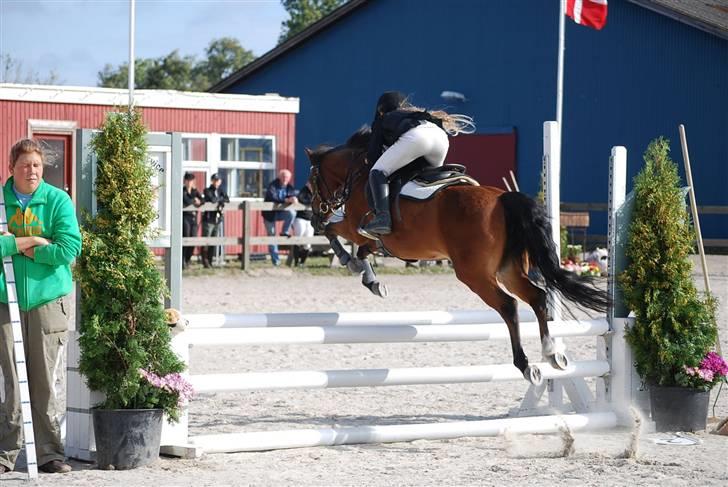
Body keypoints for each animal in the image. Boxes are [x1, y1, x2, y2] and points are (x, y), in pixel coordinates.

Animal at [304, 127, 612, 386]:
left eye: (310, 185)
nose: (316, 213)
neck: (357, 174)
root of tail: (503, 199)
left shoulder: (353, 226)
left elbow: (336, 234)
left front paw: (353, 265)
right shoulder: (373, 239)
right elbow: (363, 249)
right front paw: (372, 280)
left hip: (473, 274)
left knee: (508, 305)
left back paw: (526, 365)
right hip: (508, 270)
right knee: (536, 296)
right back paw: (552, 354)